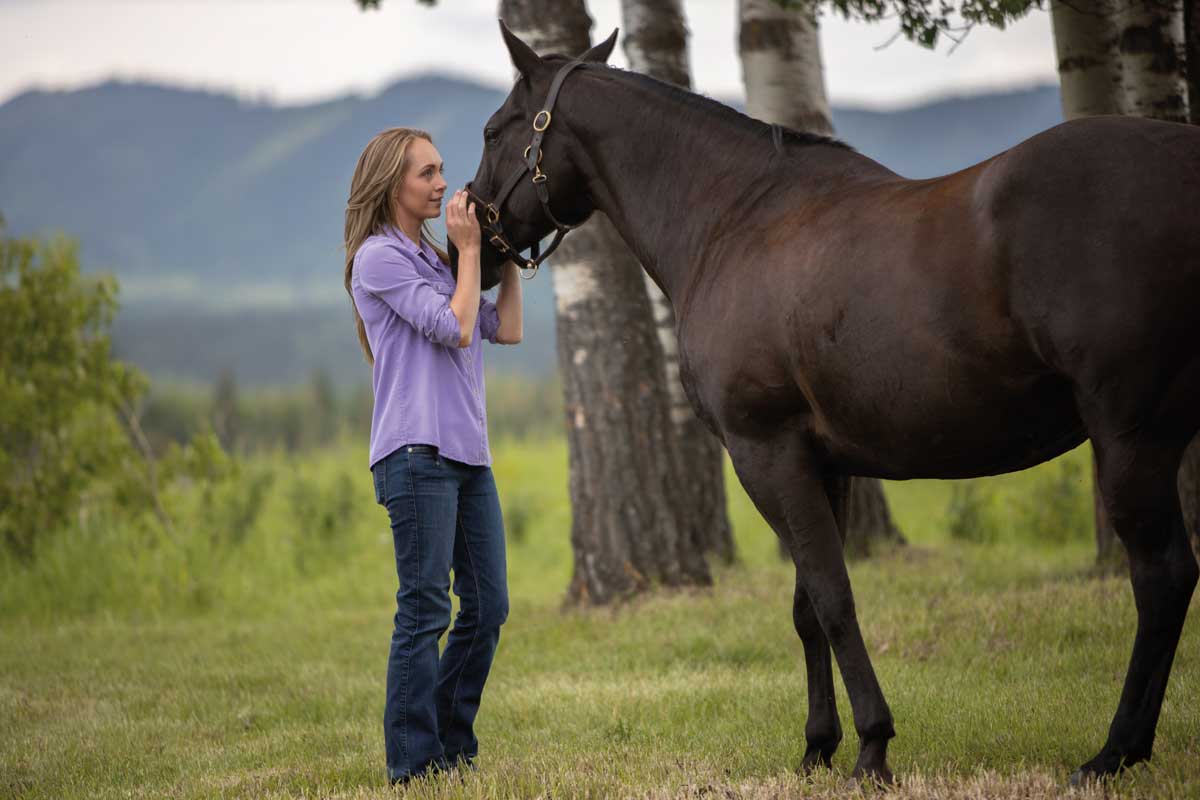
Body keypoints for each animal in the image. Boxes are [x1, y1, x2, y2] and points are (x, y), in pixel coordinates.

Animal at [460, 21, 1200, 786]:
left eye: (494, 130)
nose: (474, 236)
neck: (733, 220)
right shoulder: (826, 464)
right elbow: (806, 607)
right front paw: (818, 745)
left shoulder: (766, 453)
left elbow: (831, 595)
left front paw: (872, 746)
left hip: (1131, 439)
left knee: (1162, 577)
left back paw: (1113, 752)